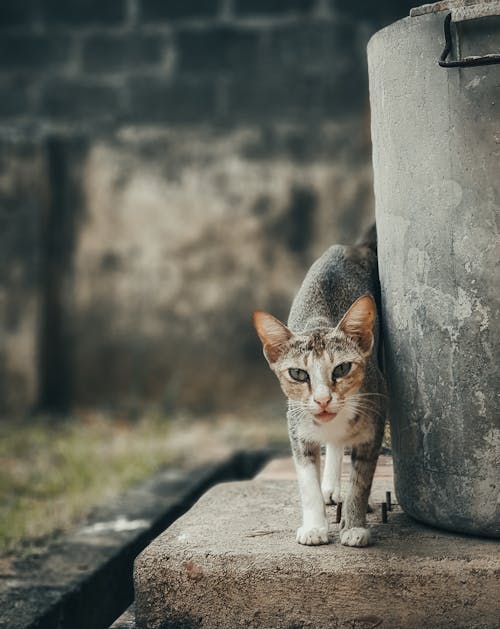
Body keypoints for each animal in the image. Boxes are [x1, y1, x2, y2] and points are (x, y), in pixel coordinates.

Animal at [254, 236, 386, 544]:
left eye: (342, 369)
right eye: (298, 374)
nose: (323, 399)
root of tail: (351, 246)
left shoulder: (374, 422)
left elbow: (361, 482)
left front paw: (354, 527)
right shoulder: (297, 430)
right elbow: (306, 483)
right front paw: (314, 527)